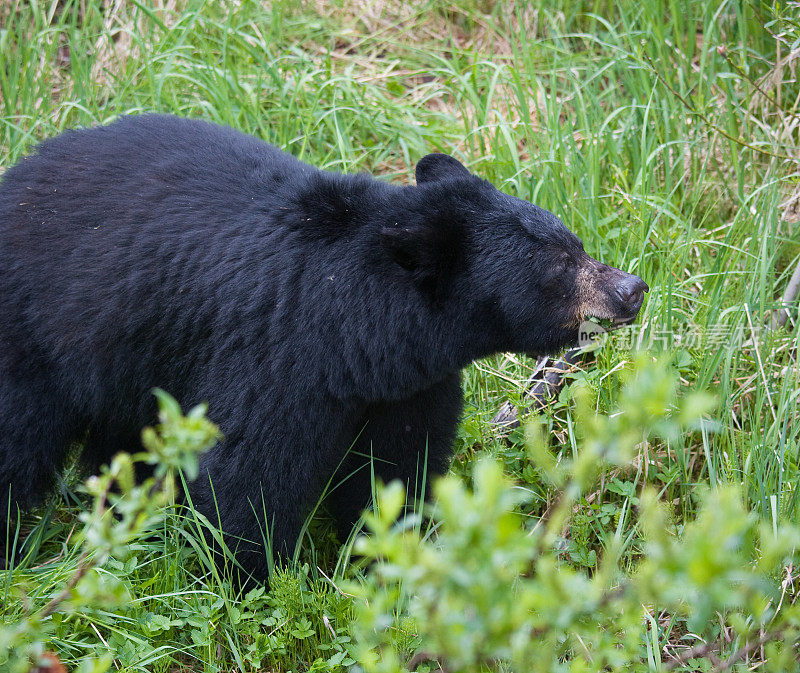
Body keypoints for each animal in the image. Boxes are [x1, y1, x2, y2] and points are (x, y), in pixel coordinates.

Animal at [0, 114, 648, 576]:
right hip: (35, 332)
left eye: (574, 241)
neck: (358, 335)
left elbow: (395, 469)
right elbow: (247, 478)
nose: (632, 289)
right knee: (20, 439)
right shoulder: (276, 356)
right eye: (559, 265)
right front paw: (250, 580)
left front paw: (393, 556)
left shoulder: (407, 388)